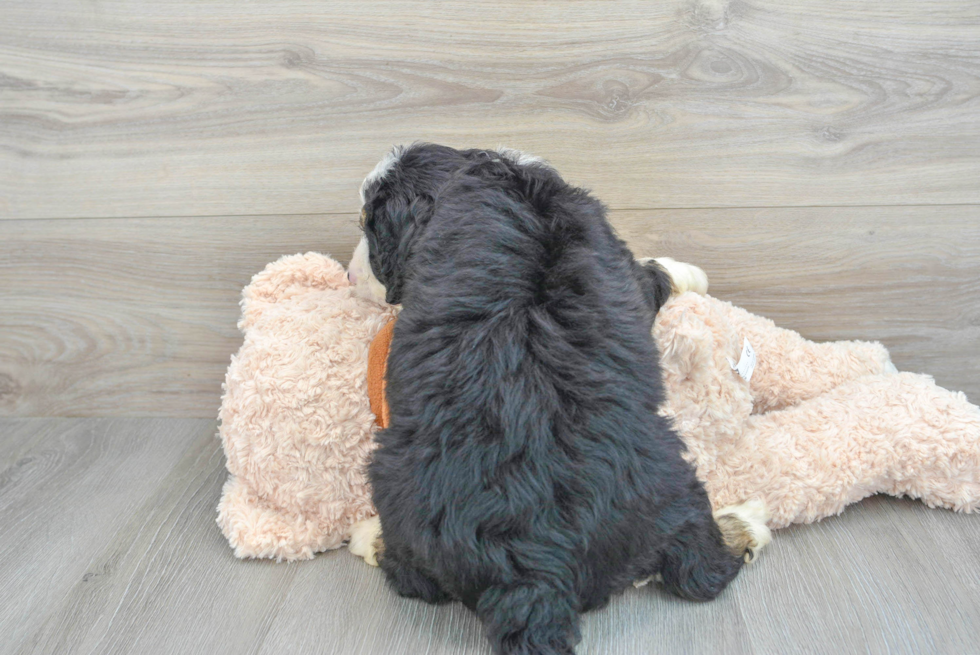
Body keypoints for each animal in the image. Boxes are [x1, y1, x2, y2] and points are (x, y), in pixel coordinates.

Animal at [348, 145, 768, 655]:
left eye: (369, 226)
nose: (348, 276)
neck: (484, 175)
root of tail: (533, 574)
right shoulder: (621, 265)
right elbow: (652, 275)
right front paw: (693, 274)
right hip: (671, 479)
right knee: (701, 566)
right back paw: (747, 520)